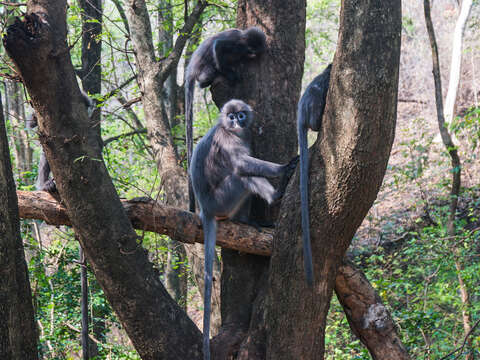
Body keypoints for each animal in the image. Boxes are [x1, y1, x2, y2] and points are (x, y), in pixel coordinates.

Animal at [186, 28, 266, 214]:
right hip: (204, 70)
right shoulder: (236, 42)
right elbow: (218, 46)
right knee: (208, 72)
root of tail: (191, 69)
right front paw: (229, 73)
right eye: (252, 49)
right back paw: (210, 78)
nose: (252, 54)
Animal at [190, 99, 296, 360]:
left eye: (240, 115)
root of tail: (205, 210)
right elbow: (240, 163)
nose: (237, 122)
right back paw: (277, 195)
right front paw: (283, 168)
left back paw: (247, 221)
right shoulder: (227, 139)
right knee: (241, 174)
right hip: (222, 199)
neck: (231, 131)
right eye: (231, 117)